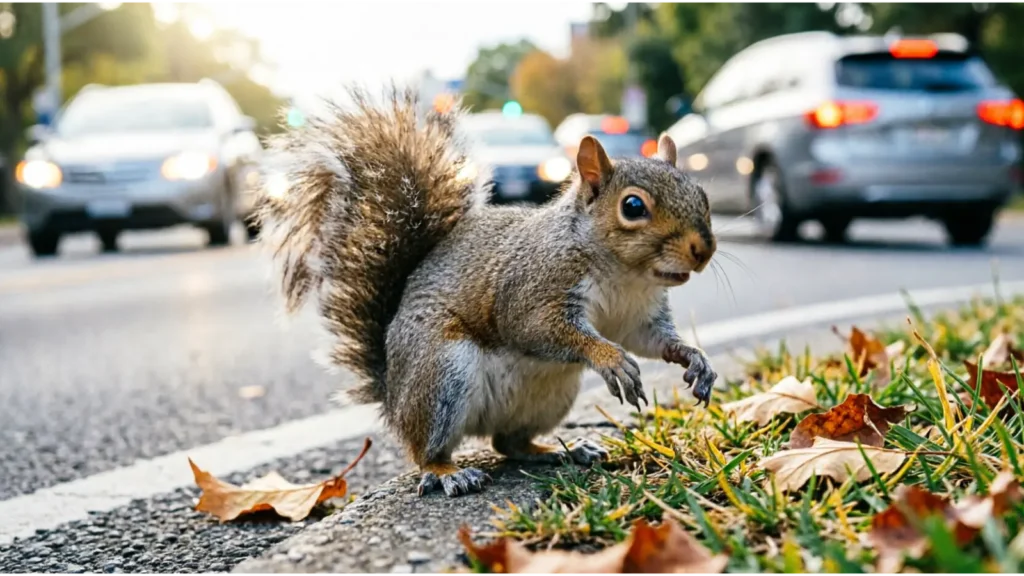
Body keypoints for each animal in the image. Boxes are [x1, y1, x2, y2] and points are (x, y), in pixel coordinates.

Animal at [256, 86, 718, 498]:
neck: (626, 276)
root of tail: (393, 397)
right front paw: (608, 358)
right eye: (633, 207)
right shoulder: (533, 288)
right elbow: (537, 329)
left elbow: (651, 341)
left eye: (703, 194)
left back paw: (560, 450)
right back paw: (448, 472)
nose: (704, 249)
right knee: (426, 450)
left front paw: (695, 358)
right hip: (441, 373)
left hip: (551, 396)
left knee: (508, 444)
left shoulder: (638, 315)